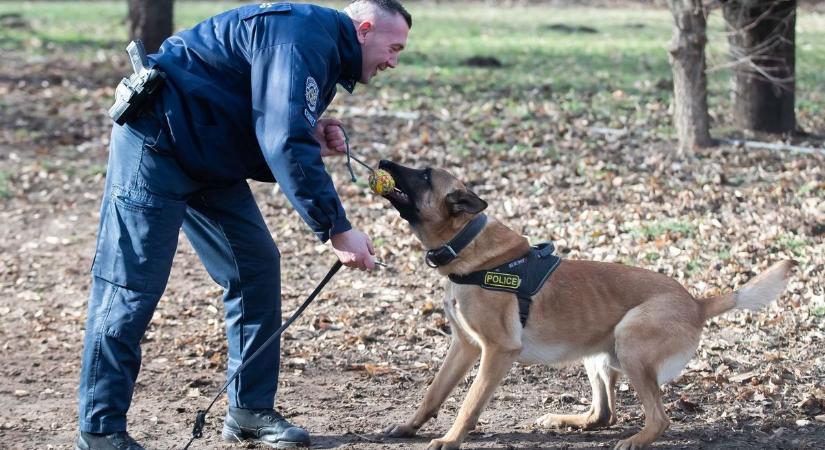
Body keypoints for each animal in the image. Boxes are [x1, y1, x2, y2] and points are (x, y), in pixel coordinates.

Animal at [376, 160, 796, 448]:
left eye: (424, 175)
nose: (382, 162)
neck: (466, 245)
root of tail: (696, 302)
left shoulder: (497, 351)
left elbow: (469, 402)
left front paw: (450, 440)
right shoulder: (464, 347)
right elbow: (434, 392)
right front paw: (409, 427)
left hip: (630, 342)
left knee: (657, 418)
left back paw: (634, 440)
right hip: (598, 356)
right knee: (603, 414)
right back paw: (566, 420)